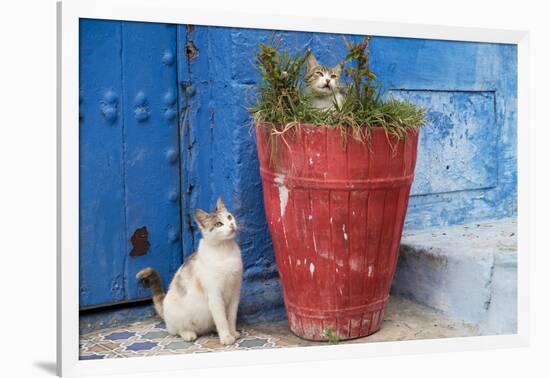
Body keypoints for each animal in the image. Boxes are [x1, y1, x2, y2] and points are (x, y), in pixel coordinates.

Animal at [137, 198, 243, 346]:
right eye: (218, 224)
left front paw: (232, 332)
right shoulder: (215, 295)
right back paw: (188, 334)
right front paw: (226, 337)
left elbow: (231, 317)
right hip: (177, 316)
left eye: (229, 217)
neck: (225, 249)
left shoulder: (235, 292)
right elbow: (222, 319)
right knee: (176, 330)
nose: (232, 225)